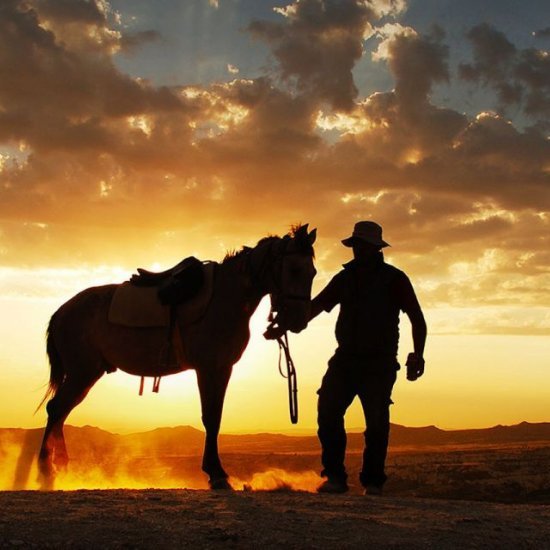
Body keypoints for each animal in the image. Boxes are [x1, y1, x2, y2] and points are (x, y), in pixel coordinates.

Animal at [36, 224, 316, 492]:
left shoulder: (223, 368)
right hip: (81, 372)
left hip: (86, 374)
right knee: (56, 409)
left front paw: (216, 472)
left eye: (312, 272)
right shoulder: (209, 368)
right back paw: (45, 471)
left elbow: (216, 416)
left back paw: (61, 467)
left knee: (61, 411)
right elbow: (210, 417)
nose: (299, 320)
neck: (226, 297)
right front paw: (216, 474)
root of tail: (61, 312)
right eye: (294, 269)